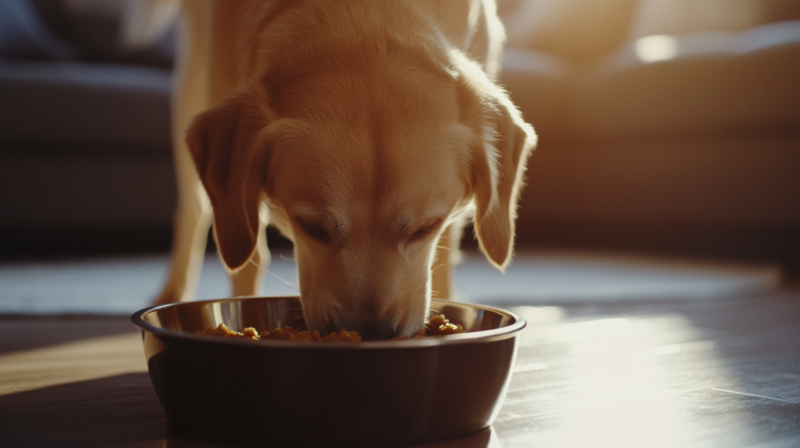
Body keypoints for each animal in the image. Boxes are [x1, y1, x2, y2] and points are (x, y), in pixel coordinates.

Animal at [150, 0, 536, 340]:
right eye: (311, 227)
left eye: (425, 228)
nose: (370, 333)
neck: (364, 15)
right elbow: (247, 256)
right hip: (190, 82)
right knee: (194, 211)